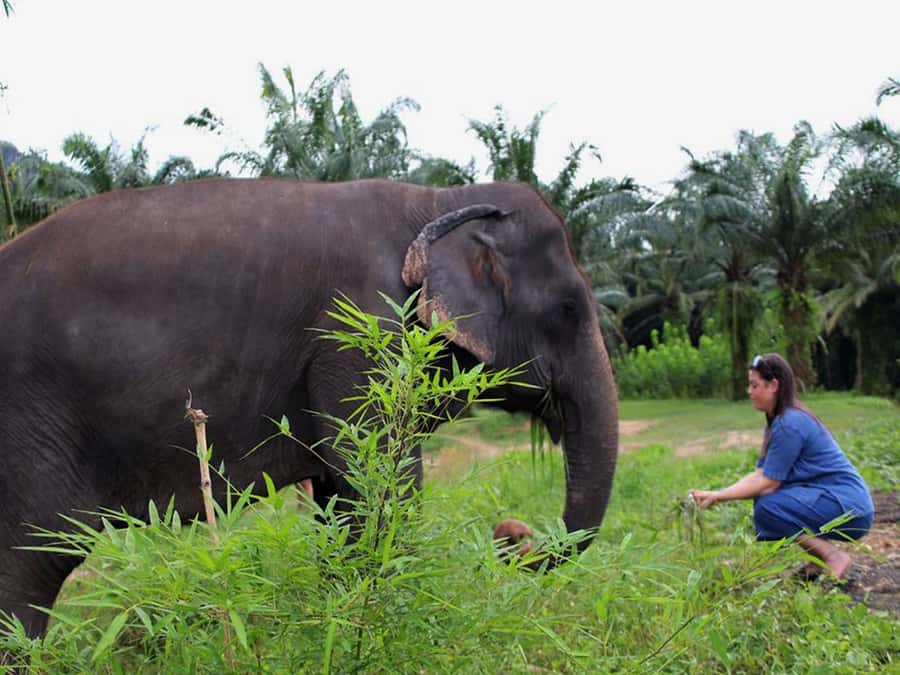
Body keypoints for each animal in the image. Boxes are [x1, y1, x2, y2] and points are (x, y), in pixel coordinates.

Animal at [0, 178, 618, 640]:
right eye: (568, 308)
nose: (512, 537)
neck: (438, 199)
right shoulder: (362, 330)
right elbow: (382, 487)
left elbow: (343, 501)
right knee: (32, 561)